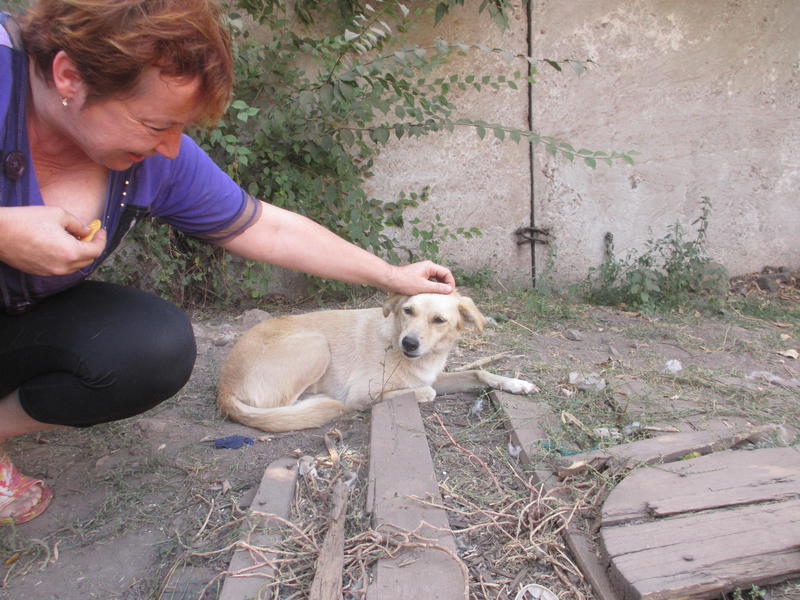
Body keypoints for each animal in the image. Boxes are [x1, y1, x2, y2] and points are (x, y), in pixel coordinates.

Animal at [217, 290, 536, 432]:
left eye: (439, 320)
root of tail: (224, 388)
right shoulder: (361, 392)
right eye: (408, 310)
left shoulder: (435, 375)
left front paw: (516, 384)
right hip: (316, 344)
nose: (409, 343)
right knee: (280, 407)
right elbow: (423, 391)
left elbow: (480, 373)